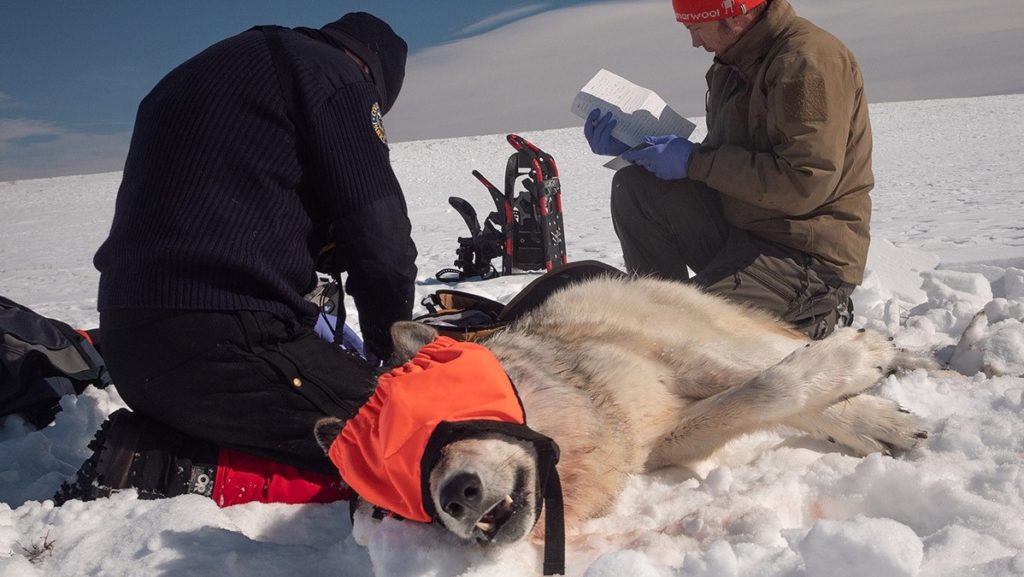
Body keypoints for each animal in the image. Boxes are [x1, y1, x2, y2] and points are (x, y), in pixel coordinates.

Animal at [318, 274, 931, 550]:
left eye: (441, 424)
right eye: (405, 492)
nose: (455, 498)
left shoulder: (689, 361)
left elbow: (775, 381)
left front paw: (867, 380)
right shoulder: (665, 441)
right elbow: (756, 400)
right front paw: (878, 417)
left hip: (716, 328)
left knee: (783, 347)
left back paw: (917, 362)